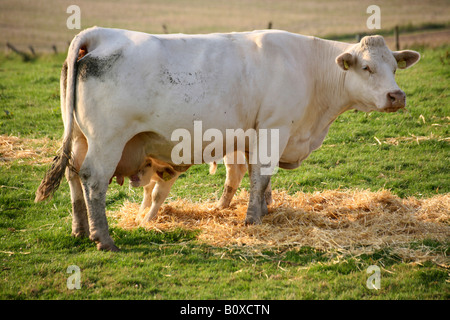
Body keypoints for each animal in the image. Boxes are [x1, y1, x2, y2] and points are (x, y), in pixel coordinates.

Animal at [35, 27, 418, 251]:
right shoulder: (275, 128)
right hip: (107, 140)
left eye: (393, 67)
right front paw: (253, 220)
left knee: (72, 175)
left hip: (80, 138)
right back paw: (104, 239)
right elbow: (261, 177)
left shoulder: (253, 138)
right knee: (92, 180)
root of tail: (100, 34)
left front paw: (263, 210)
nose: (397, 96)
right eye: (366, 67)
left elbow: (258, 180)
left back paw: (79, 230)